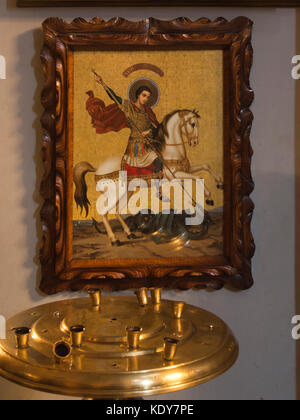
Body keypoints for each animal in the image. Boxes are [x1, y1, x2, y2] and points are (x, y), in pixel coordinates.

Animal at [72, 108, 223, 246]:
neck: (171, 151)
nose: (194, 142)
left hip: (127, 192)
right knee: (104, 212)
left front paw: (219, 184)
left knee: (117, 211)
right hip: (114, 193)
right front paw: (209, 197)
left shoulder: (185, 170)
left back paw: (130, 234)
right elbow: (197, 177)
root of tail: (97, 169)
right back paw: (114, 240)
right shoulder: (174, 175)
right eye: (192, 124)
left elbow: (206, 166)